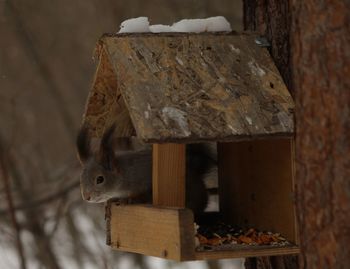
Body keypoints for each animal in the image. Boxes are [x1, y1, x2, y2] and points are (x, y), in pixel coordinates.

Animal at [76, 123, 216, 214]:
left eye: (100, 179)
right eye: (81, 180)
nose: (86, 197)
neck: (126, 174)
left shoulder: (146, 180)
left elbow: (148, 195)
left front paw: (130, 199)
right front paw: (111, 201)